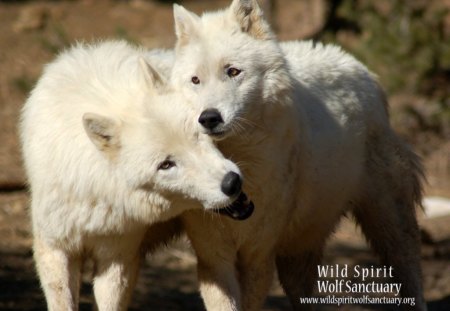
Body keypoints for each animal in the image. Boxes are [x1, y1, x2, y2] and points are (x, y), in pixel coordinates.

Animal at [169, 0, 426, 311]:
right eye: (195, 80)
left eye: (233, 71)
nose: (208, 118)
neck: (239, 161)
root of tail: (358, 65)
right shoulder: (213, 258)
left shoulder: (258, 256)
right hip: (299, 250)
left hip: (390, 225)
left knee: (410, 273)